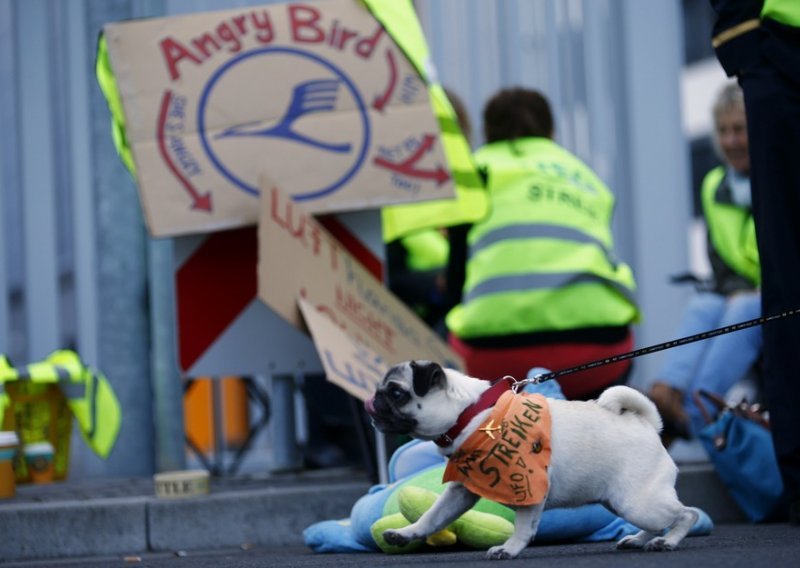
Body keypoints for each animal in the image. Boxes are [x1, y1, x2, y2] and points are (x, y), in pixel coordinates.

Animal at [366, 360, 696, 560]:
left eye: (396, 393)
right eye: (382, 388)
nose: (372, 399)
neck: (472, 414)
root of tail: (647, 424)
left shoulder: (527, 486)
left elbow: (523, 527)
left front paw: (509, 549)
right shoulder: (460, 492)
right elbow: (432, 517)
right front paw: (406, 534)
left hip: (636, 502)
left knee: (686, 514)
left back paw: (667, 541)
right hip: (620, 502)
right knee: (659, 521)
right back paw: (640, 539)